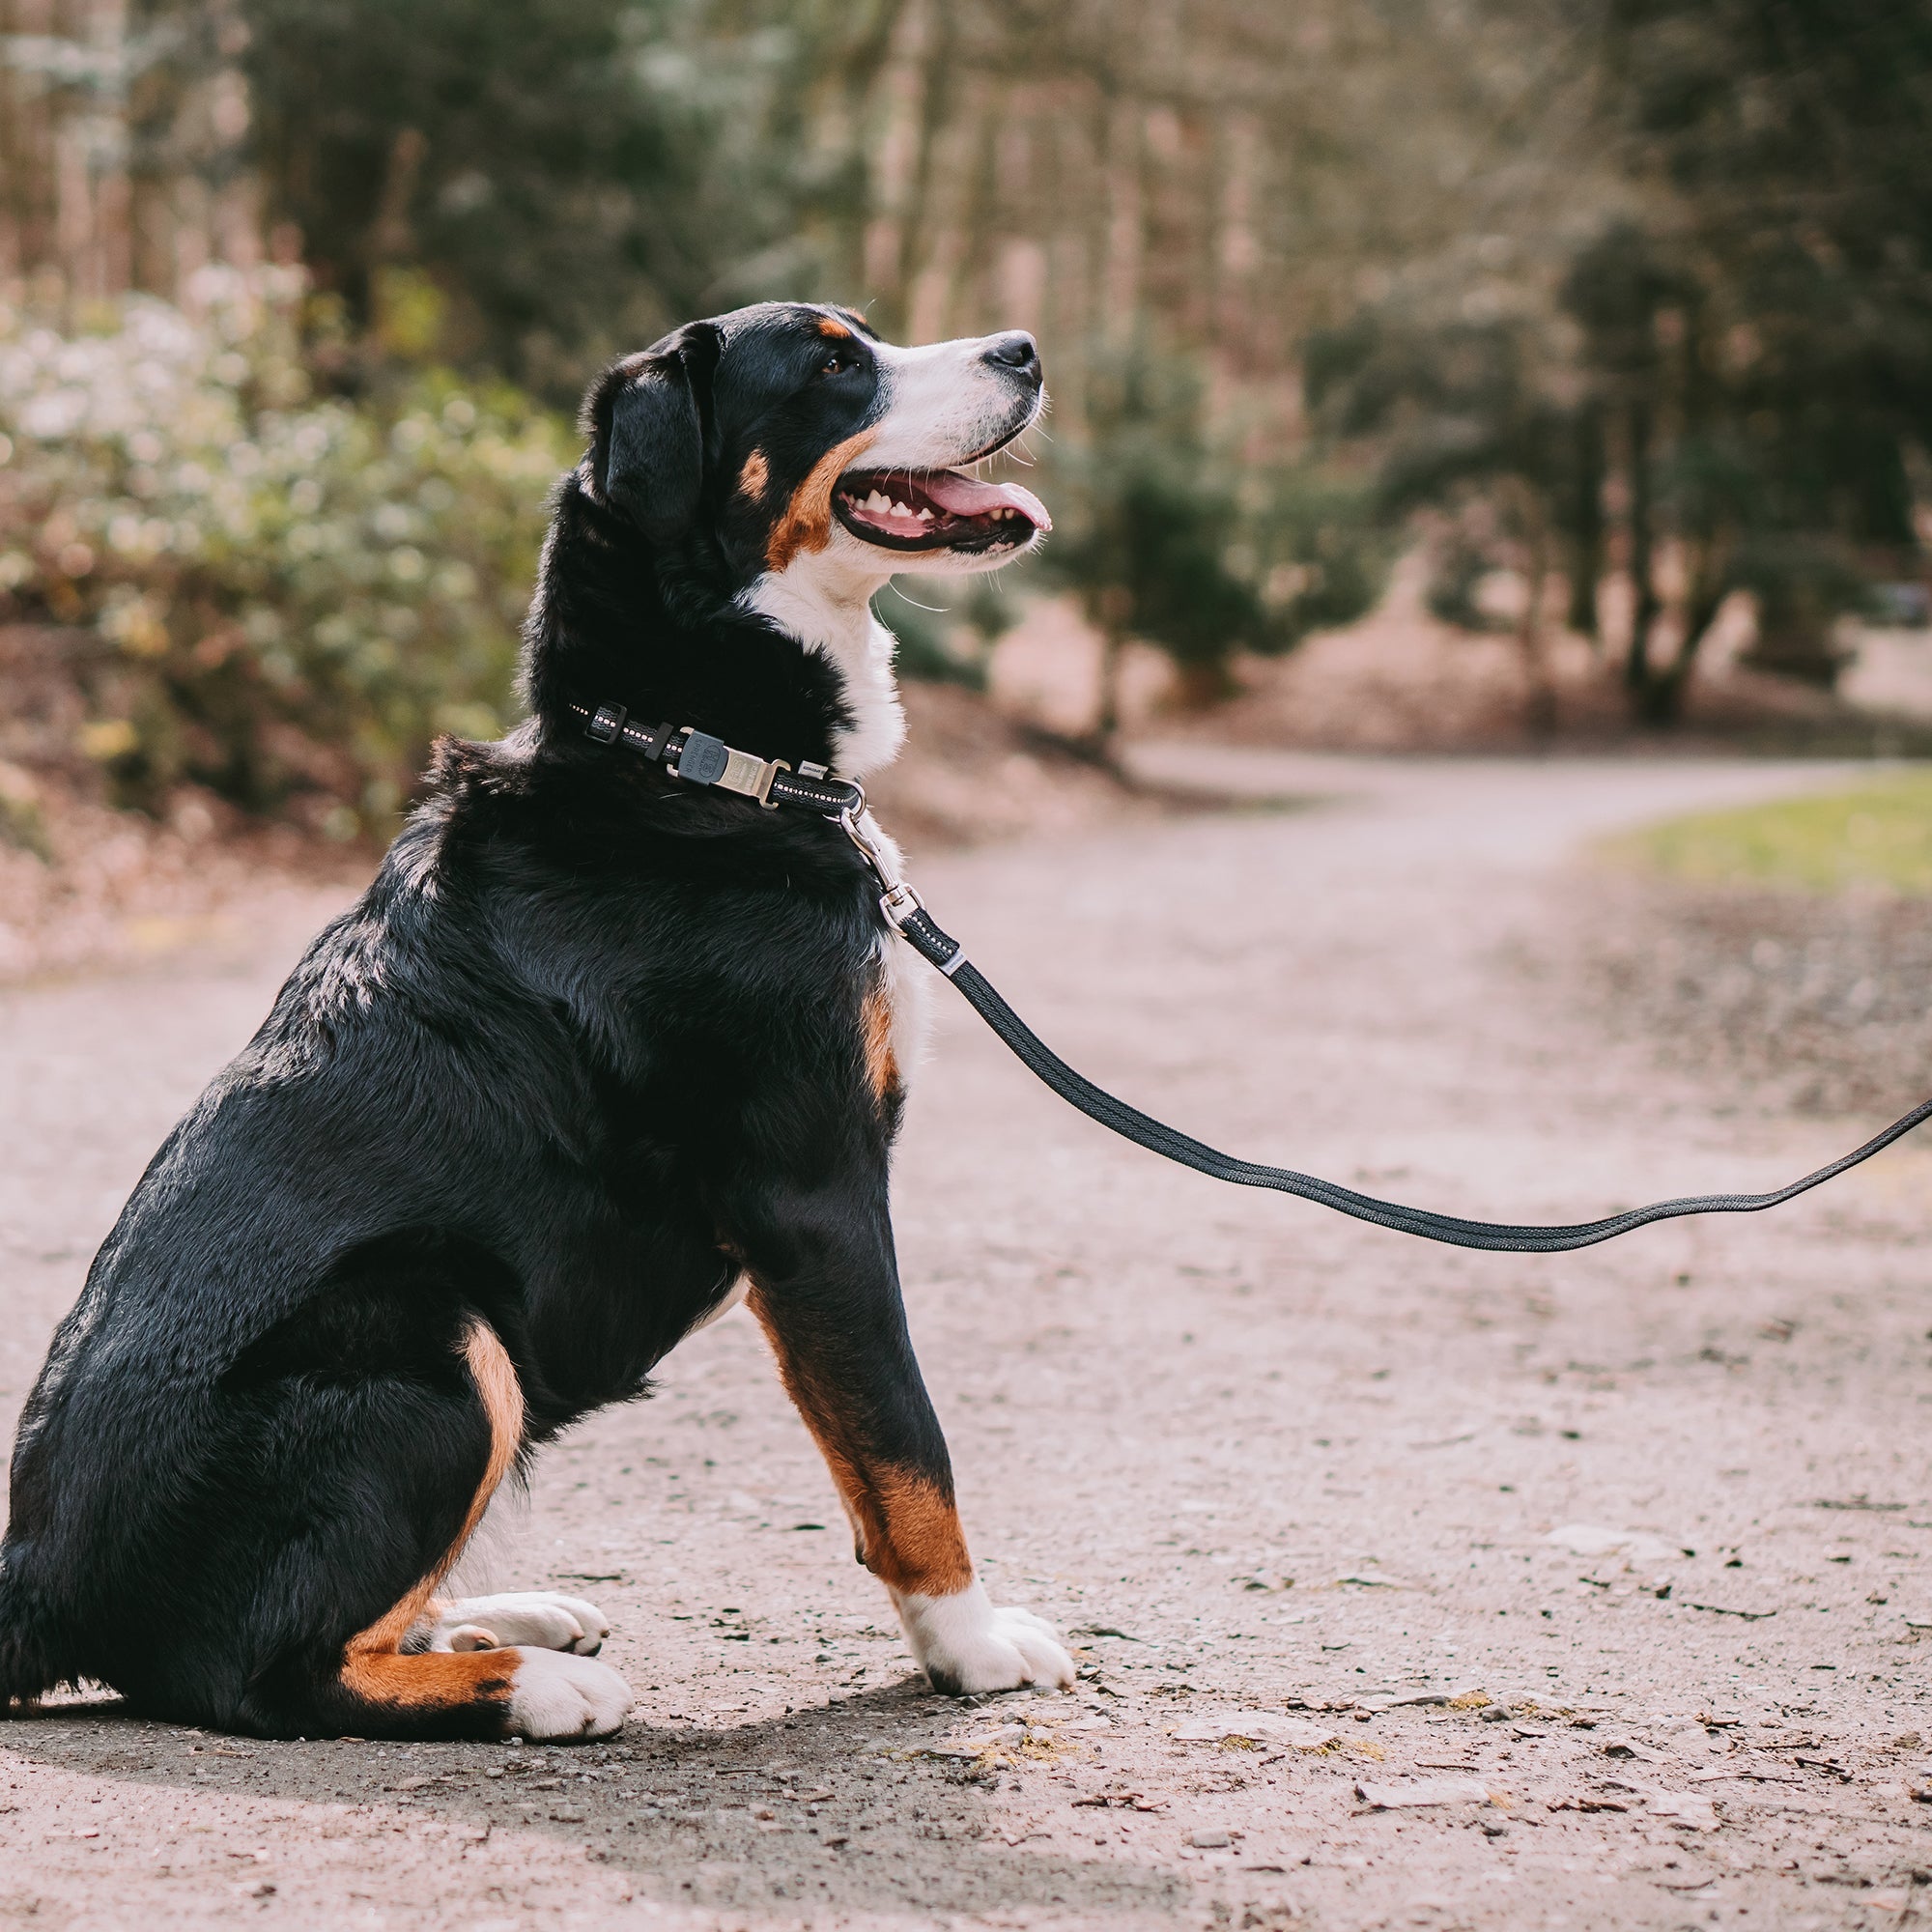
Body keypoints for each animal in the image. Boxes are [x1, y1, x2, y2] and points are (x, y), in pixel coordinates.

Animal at [0, 305, 1074, 1754]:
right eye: (833, 363)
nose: (1022, 346)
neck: (686, 758)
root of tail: (37, 1569)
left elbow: (874, 1451)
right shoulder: (815, 1195)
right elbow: (904, 1445)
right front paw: (970, 1641)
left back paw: (499, 1619)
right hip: (433, 1335)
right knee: (261, 1672)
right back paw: (538, 1688)